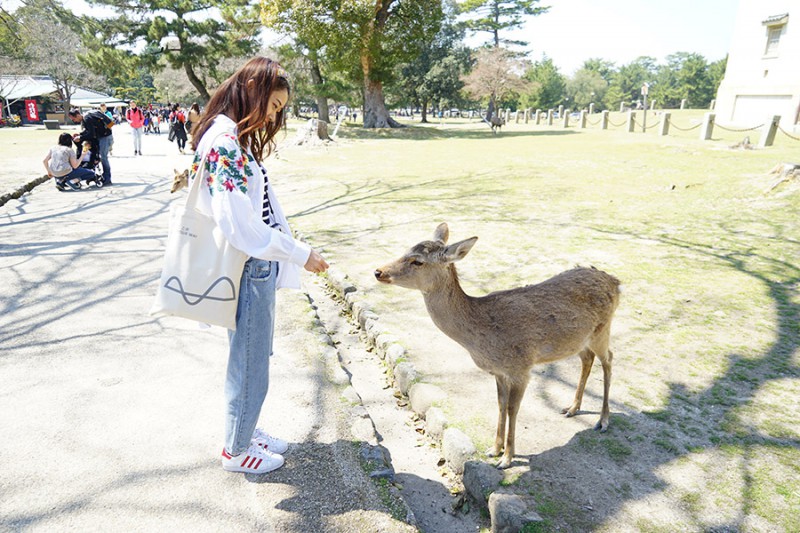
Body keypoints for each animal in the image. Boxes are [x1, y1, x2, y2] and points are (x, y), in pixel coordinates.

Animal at [372, 222, 620, 468]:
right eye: (405, 250)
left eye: (418, 261)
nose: (378, 271)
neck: (482, 339)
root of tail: (616, 283)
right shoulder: (499, 371)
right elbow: (500, 404)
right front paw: (494, 450)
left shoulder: (521, 368)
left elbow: (512, 408)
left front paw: (507, 458)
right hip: (580, 340)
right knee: (587, 358)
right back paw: (571, 408)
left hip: (603, 329)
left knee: (608, 358)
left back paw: (603, 421)